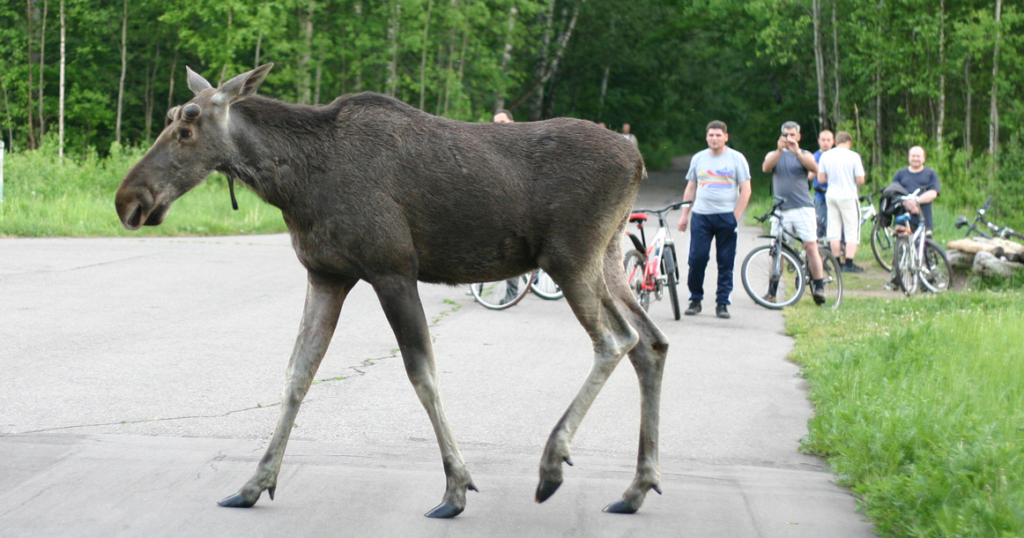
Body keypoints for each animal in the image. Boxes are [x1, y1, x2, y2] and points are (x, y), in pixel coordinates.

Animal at [114, 65, 671, 518]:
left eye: (186, 127)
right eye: (170, 118)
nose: (128, 200)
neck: (293, 184)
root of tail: (637, 159)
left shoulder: (392, 270)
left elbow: (422, 374)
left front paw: (455, 488)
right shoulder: (326, 274)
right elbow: (297, 375)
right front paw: (254, 483)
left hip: (570, 259)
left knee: (615, 341)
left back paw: (552, 465)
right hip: (607, 259)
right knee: (651, 342)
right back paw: (636, 488)